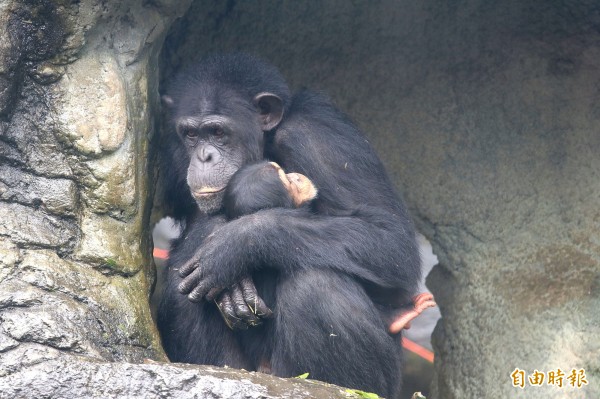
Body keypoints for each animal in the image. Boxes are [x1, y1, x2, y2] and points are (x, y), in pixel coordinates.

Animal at [158, 54, 422, 399]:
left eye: (217, 132)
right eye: (190, 134)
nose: (204, 156)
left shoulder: (319, 136)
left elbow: (391, 239)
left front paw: (235, 246)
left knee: (316, 287)